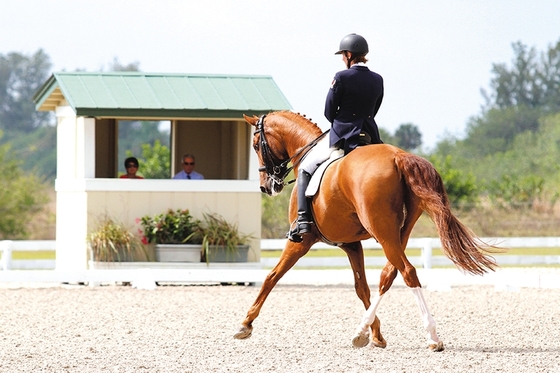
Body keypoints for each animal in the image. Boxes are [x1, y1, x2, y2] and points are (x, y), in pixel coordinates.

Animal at [234, 110, 500, 348]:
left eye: (256, 145)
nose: (266, 187)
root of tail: (399, 157)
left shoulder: (301, 241)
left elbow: (271, 276)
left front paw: (245, 324)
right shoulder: (351, 244)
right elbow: (361, 288)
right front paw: (376, 334)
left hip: (382, 232)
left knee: (408, 272)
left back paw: (432, 337)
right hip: (398, 233)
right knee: (389, 274)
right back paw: (362, 331)